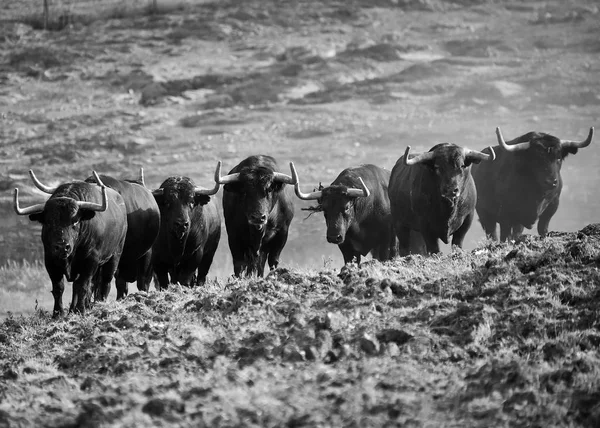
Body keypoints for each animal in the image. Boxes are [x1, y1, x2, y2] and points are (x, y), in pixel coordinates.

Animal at [14, 172, 127, 316]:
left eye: (75, 221)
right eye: (48, 222)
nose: (63, 247)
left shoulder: (90, 261)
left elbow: (83, 286)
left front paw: (81, 310)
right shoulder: (50, 261)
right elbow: (59, 288)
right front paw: (58, 313)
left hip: (115, 256)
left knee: (105, 282)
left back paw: (100, 304)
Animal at [152, 162, 223, 290]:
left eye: (191, 201)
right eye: (167, 202)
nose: (181, 224)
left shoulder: (195, 255)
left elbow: (185, 279)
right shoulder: (158, 261)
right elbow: (163, 282)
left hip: (209, 255)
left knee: (201, 276)